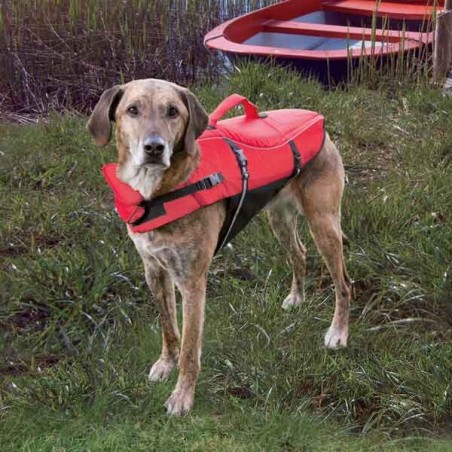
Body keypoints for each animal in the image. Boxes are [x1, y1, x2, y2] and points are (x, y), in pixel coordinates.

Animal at [86, 78, 352, 416]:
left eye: (173, 112)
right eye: (132, 110)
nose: (154, 148)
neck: (158, 193)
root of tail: (318, 119)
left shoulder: (192, 282)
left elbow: (190, 349)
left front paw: (182, 397)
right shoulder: (154, 270)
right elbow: (168, 328)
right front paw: (166, 363)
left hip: (323, 222)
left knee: (343, 283)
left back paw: (338, 333)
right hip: (279, 219)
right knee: (300, 253)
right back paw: (297, 297)